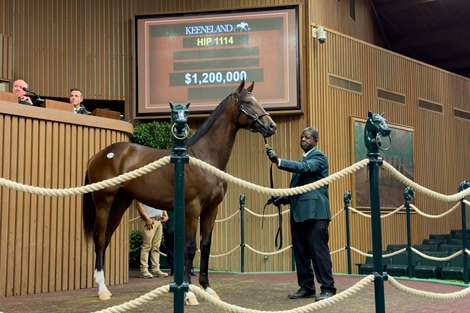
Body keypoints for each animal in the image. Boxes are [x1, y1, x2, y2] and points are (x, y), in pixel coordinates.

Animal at [82, 80, 278, 300]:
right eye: (247, 103)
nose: (271, 126)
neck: (204, 158)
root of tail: (99, 155)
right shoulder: (193, 208)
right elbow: (190, 248)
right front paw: (188, 292)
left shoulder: (212, 210)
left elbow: (205, 246)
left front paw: (206, 287)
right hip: (103, 202)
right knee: (99, 239)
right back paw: (102, 289)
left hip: (120, 203)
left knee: (106, 239)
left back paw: (103, 284)